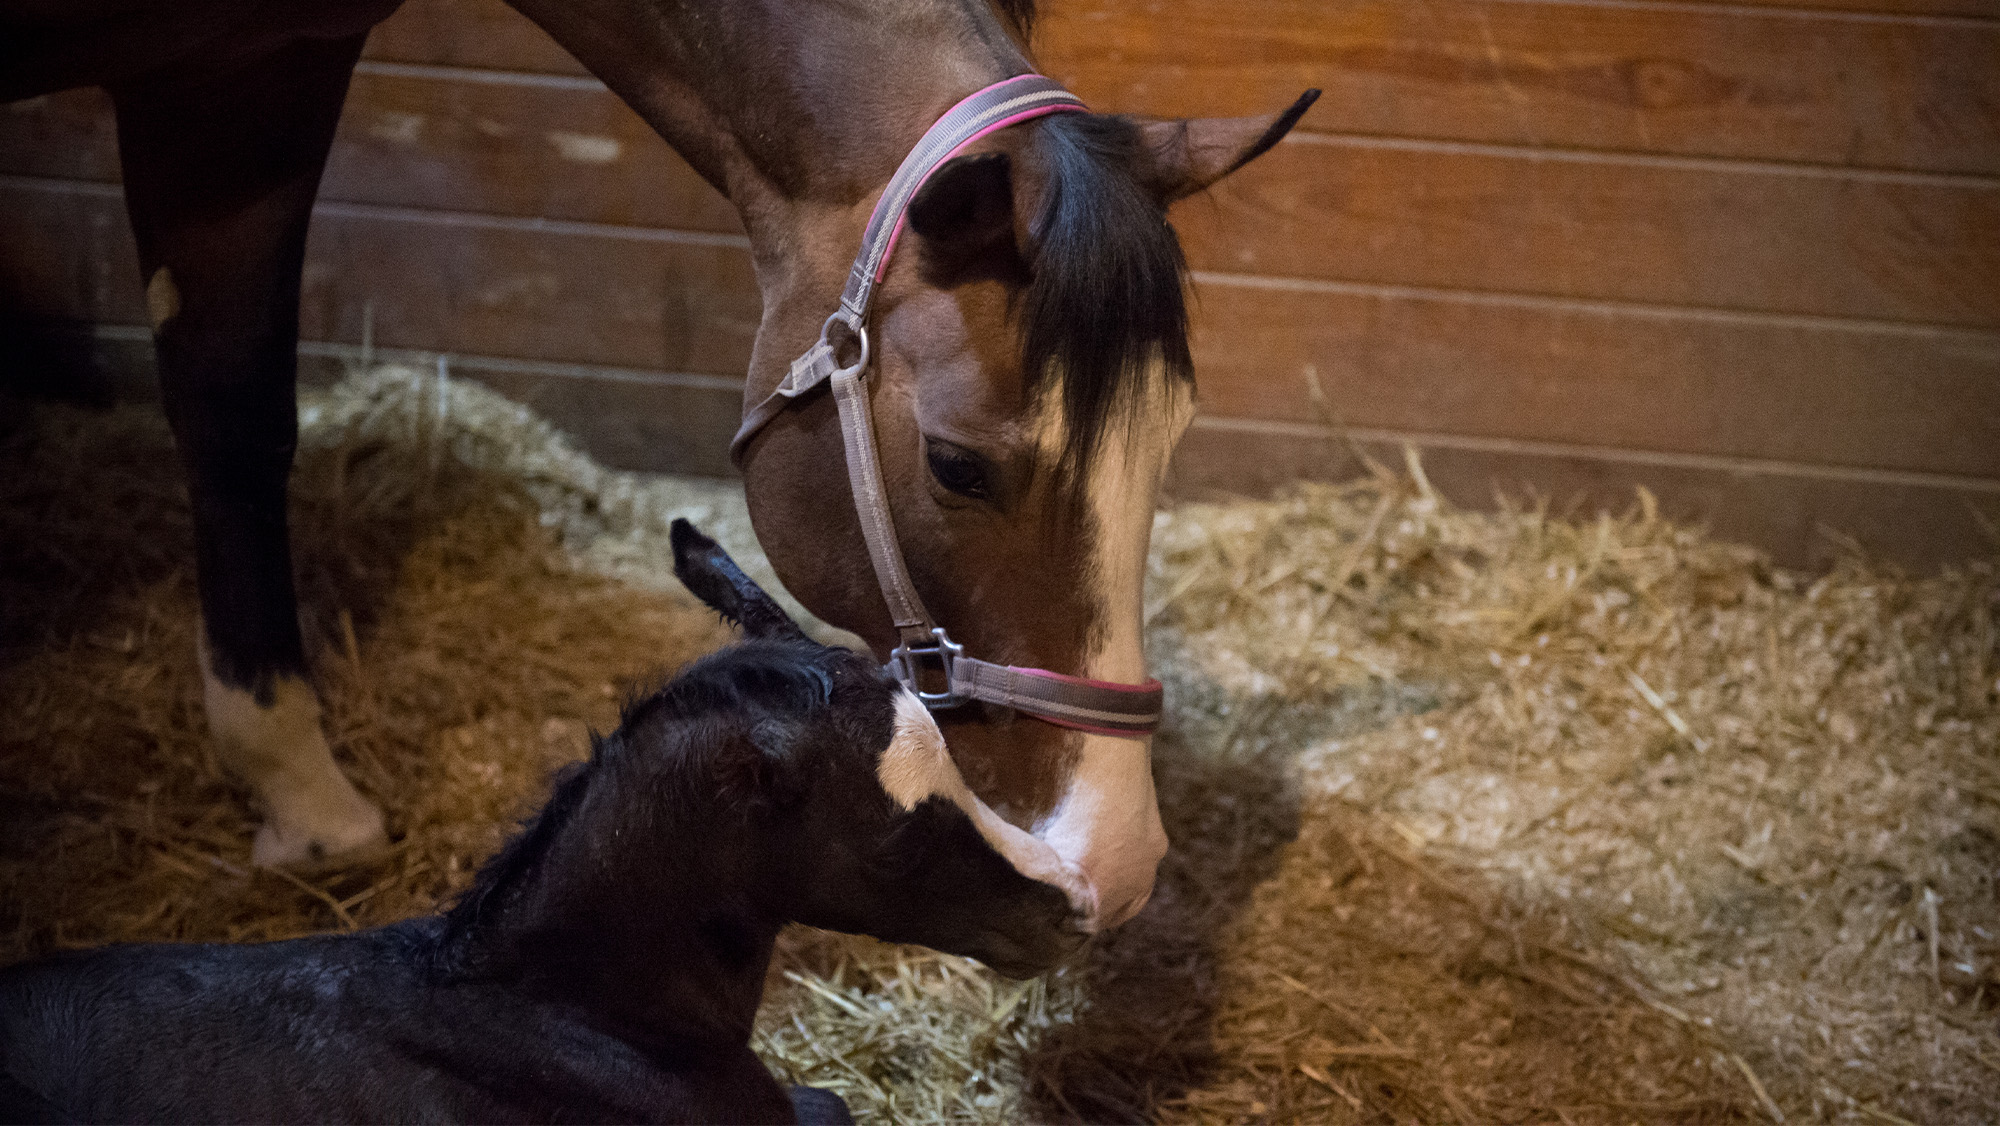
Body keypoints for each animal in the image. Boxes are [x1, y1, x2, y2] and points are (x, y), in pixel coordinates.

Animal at [2, 0, 1314, 934]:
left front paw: (297, 790)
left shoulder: (257, 67)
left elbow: (232, 407)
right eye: (955, 464)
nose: (1121, 859)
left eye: (1170, 435)